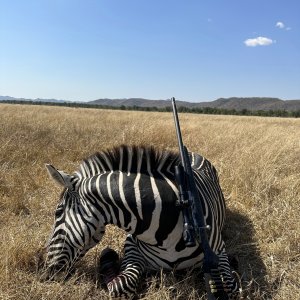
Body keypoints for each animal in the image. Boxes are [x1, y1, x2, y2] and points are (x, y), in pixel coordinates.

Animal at [41, 145, 239, 298]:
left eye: (58, 212)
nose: (46, 273)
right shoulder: (131, 246)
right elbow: (120, 286)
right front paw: (108, 260)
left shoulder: (218, 249)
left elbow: (230, 287)